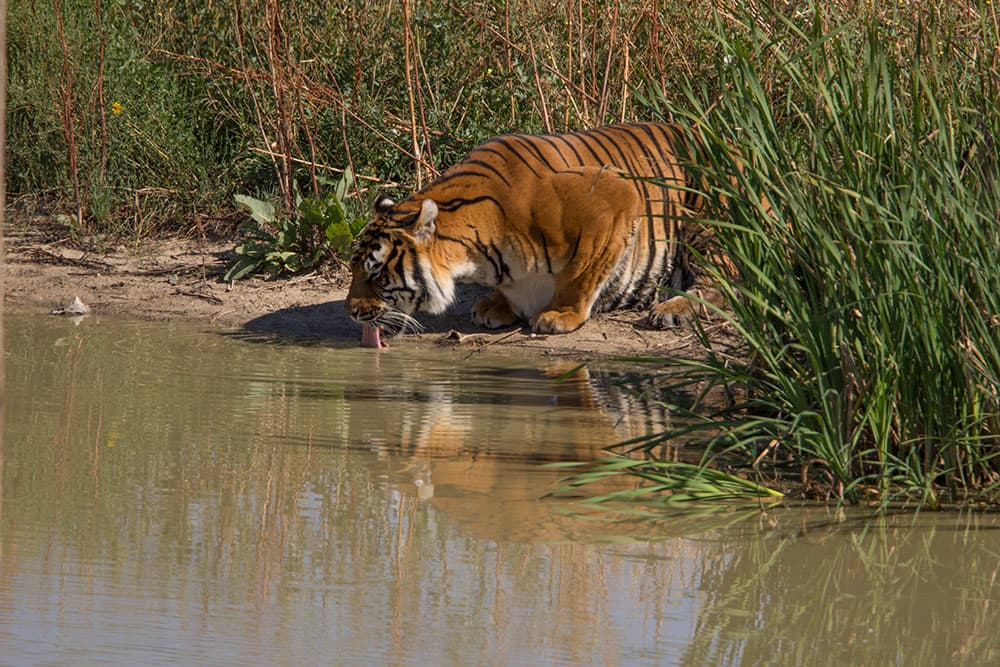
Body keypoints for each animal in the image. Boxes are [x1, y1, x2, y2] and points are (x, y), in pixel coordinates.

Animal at [345, 122, 730, 348]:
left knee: (722, 284)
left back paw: (671, 309)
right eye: (353, 270)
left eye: (376, 273)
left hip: (707, 224)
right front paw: (497, 306)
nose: (350, 312)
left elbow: (581, 274)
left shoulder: (616, 194)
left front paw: (559, 315)